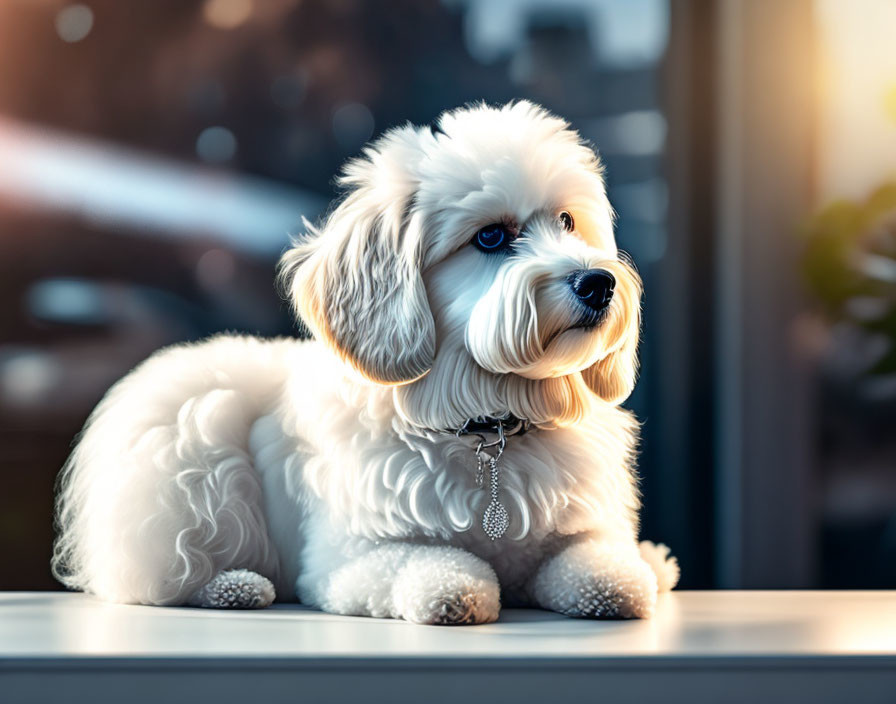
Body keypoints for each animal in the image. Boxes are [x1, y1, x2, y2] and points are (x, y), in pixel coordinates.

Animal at [50, 102, 680, 624]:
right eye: (491, 238)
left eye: (568, 222)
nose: (598, 282)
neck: (487, 425)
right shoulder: (348, 560)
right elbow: (436, 570)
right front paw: (454, 590)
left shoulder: (580, 528)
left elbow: (602, 568)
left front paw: (624, 577)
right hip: (194, 443)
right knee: (162, 580)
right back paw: (235, 587)